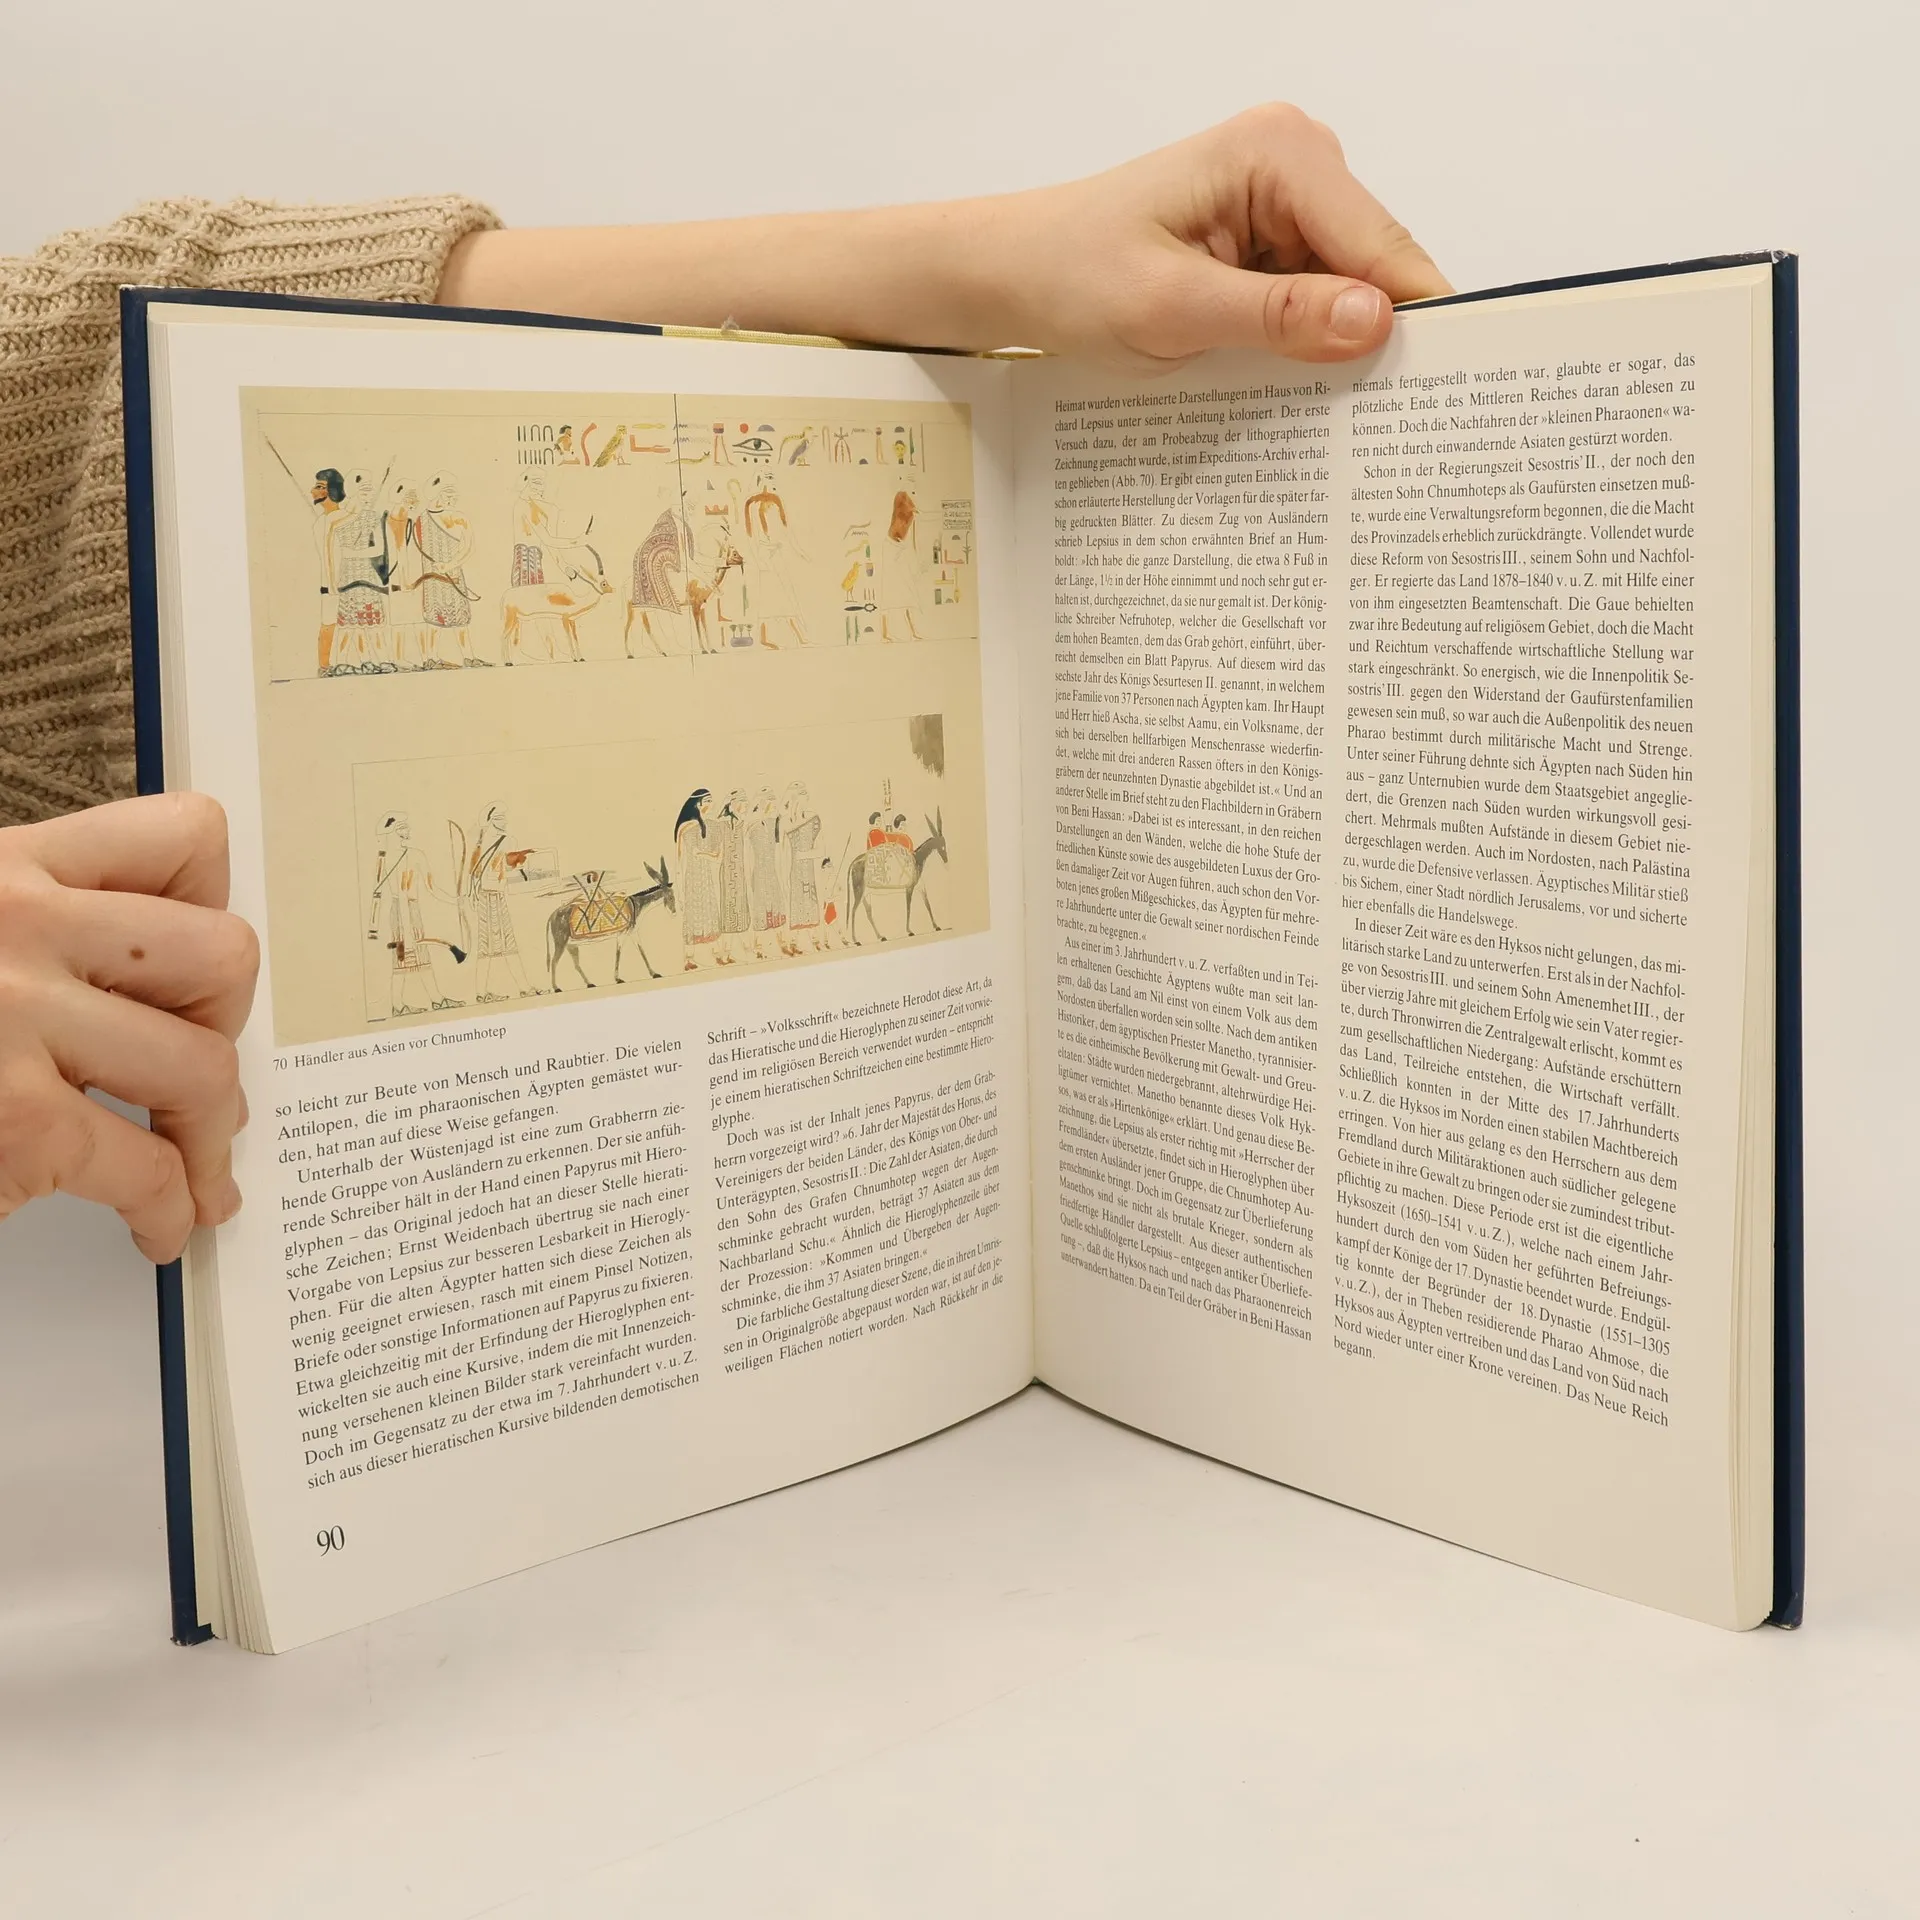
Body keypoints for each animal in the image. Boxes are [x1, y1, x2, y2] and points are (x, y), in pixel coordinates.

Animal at [546, 860, 676, 990]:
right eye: (671, 897)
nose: (674, 913)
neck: (635, 905)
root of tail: (551, 915)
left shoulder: (630, 933)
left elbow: (636, 950)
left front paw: (653, 973)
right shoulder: (624, 933)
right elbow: (623, 952)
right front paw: (619, 979)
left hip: (571, 945)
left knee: (576, 964)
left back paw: (590, 983)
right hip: (561, 942)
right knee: (554, 962)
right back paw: (556, 988)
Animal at [846, 810, 946, 945]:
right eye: (942, 845)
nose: (946, 860)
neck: (917, 859)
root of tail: (855, 862)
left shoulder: (920, 887)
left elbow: (927, 904)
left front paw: (936, 926)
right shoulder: (909, 887)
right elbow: (908, 907)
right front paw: (909, 931)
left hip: (865, 894)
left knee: (868, 912)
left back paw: (881, 936)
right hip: (859, 891)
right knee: (853, 911)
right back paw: (856, 940)